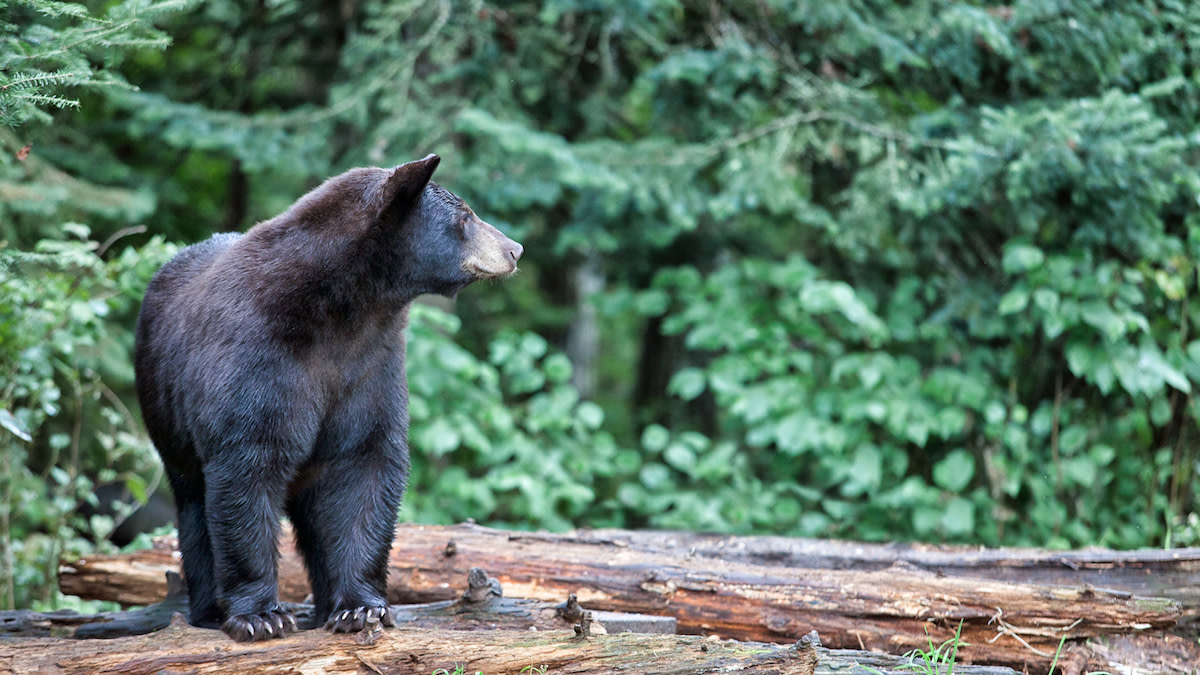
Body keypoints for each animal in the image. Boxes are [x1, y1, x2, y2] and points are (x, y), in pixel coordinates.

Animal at [135, 154, 520, 638]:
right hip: (168, 419)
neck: (344, 310)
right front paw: (260, 616)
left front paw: (361, 608)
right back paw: (208, 612)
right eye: (465, 218)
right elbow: (248, 468)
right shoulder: (258, 359)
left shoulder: (371, 366)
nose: (515, 249)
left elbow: (367, 466)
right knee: (193, 509)